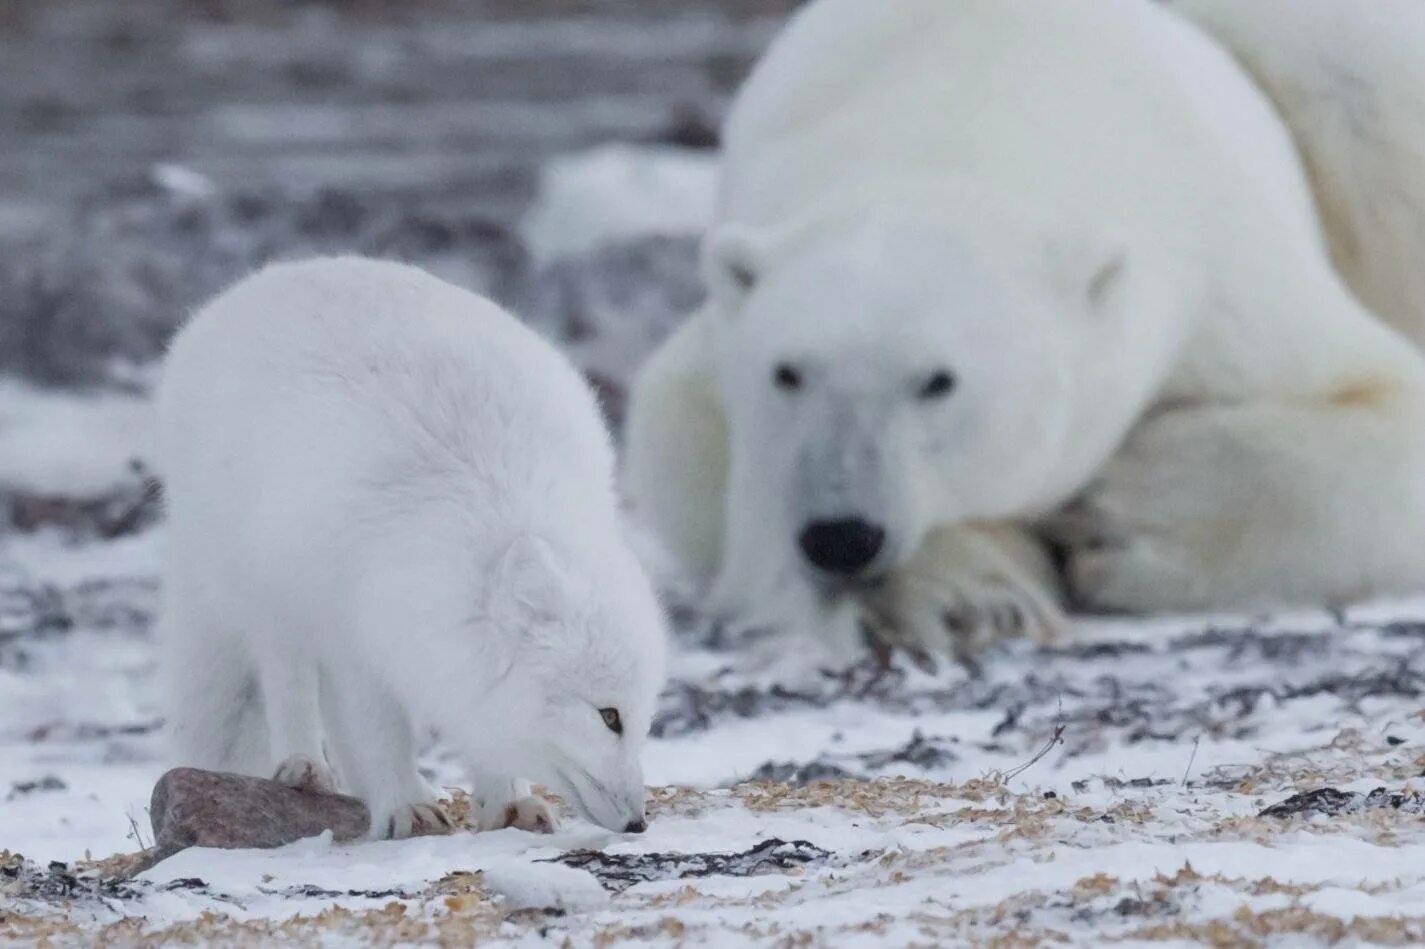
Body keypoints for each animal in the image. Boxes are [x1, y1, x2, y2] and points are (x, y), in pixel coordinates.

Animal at [158, 253, 669, 837]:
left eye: (643, 720)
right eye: (609, 717)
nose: (637, 823)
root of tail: (263, 279)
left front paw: (507, 804)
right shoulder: (353, 634)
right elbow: (379, 730)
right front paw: (406, 807)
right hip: (267, 591)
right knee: (288, 684)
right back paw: (305, 768)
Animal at [629, 0, 1425, 661]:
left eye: (938, 381)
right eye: (787, 373)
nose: (841, 534)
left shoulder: (1228, 279)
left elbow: (1380, 403)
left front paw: (1116, 522)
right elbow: (715, 472)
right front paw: (964, 597)